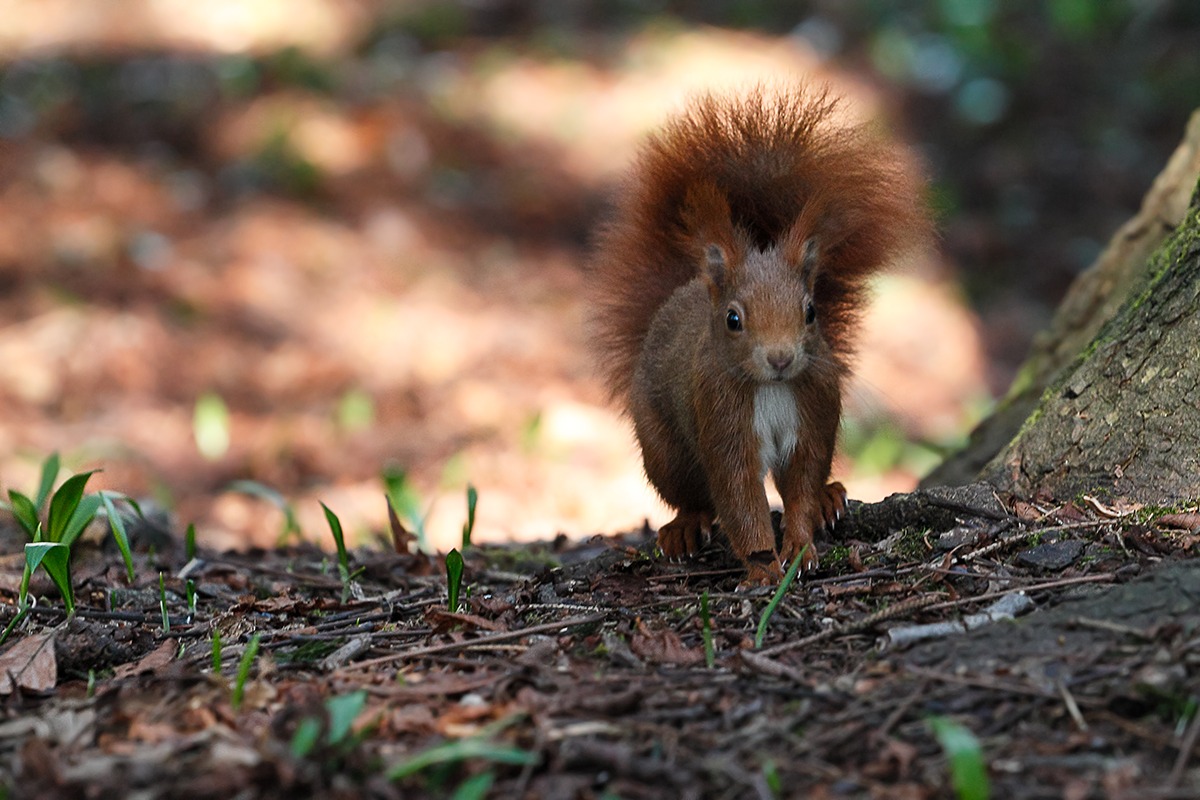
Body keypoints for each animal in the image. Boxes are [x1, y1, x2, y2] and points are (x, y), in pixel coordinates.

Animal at [588, 85, 930, 584]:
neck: (771, 388)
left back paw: (829, 496)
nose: (781, 358)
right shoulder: (722, 419)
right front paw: (765, 569)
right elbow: (740, 498)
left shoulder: (814, 411)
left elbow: (801, 483)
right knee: (691, 494)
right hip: (663, 446)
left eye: (811, 312)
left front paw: (801, 547)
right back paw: (685, 527)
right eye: (733, 319)